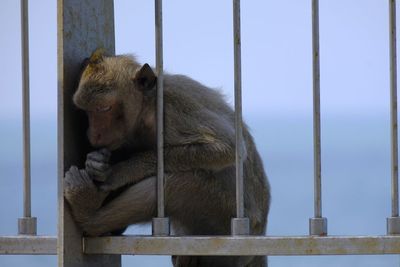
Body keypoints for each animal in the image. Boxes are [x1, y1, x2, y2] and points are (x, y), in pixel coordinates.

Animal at [65, 49, 272, 266]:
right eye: (86, 111)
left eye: (104, 109)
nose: (92, 134)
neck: (147, 109)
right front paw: (96, 163)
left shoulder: (173, 107)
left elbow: (227, 148)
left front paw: (121, 170)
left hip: (220, 210)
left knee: (171, 184)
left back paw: (88, 213)